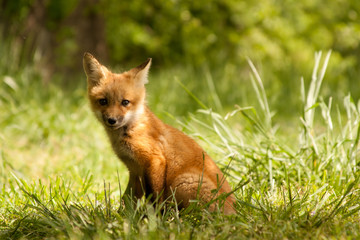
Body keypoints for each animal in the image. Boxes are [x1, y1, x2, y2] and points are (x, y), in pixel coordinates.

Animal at [83, 52, 238, 214]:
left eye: (125, 102)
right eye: (103, 101)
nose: (112, 120)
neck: (132, 128)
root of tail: (233, 210)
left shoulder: (155, 160)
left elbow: (155, 196)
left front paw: (156, 216)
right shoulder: (135, 171)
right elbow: (127, 198)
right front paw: (124, 216)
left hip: (181, 182)